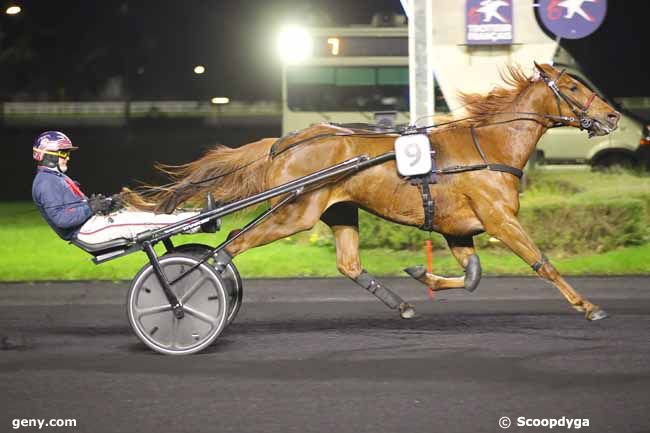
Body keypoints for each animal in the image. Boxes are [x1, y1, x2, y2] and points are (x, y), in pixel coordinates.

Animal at [125, 63, 616, 320]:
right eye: (573, 87)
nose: (611, 117)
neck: (488, 146)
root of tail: (284, 143)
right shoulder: (500, 219)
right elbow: (542, 263)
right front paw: (589, 306)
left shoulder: (458, 228)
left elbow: (474, 275)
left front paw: (422, 275)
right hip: (293, 213)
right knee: (228, 247)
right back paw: (186, 297)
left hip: (338, 210)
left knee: (348, 263)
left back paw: (401, 305)